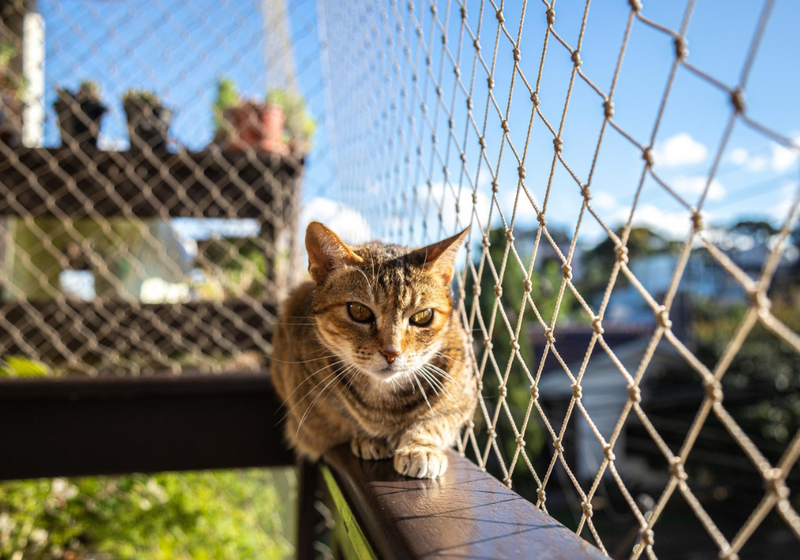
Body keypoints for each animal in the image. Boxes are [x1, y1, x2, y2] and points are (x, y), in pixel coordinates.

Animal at [272, 221, 478, 480]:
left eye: (423, 316)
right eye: (358, 311)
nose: (392, 353)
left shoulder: (464, 397)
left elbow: (435, 422)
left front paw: (420, 448)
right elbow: (345, 416)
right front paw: (367, 437)